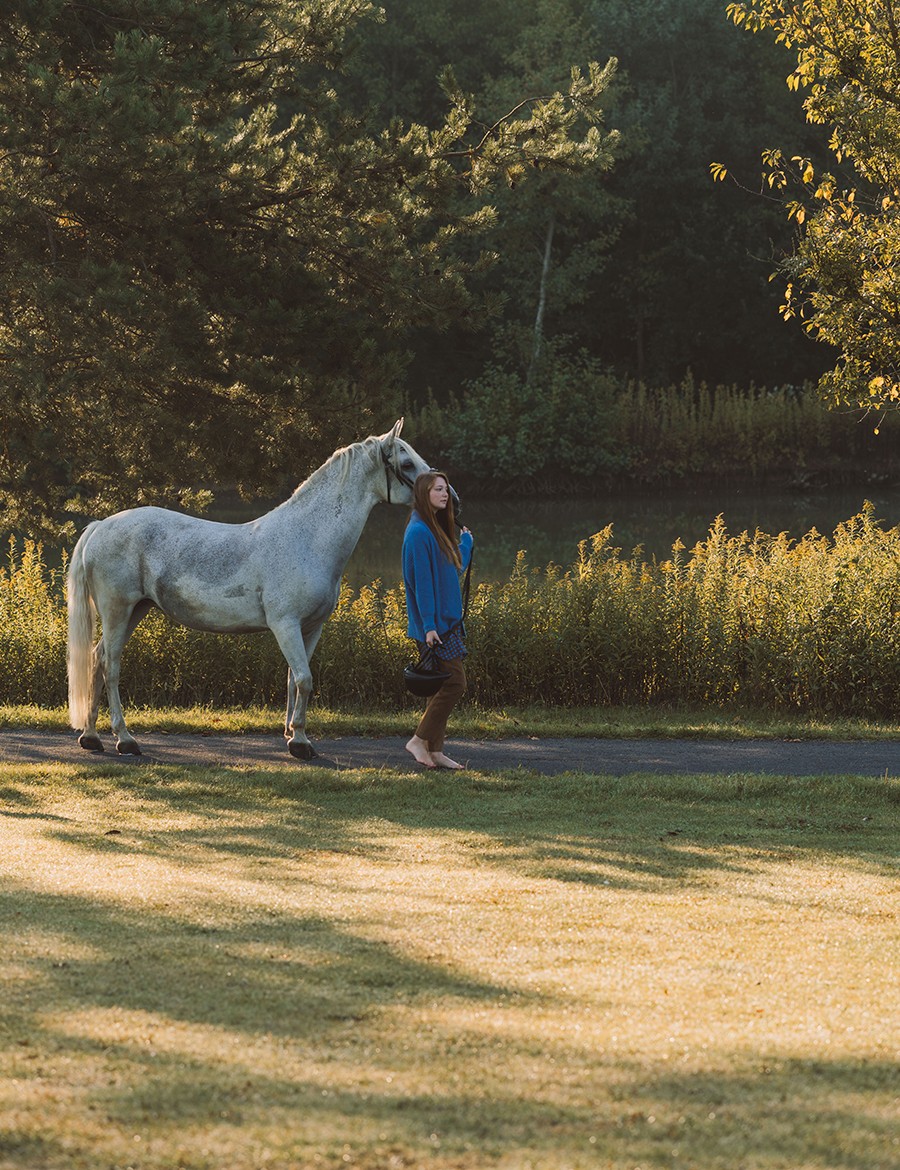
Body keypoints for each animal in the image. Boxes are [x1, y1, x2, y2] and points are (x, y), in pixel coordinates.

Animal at [66, 421, 430, 758]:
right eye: (407, 463)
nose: (440, 493)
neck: (307, 538)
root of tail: (101, 526)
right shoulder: (285, 625)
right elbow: (304, 679)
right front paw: (301, 744)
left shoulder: (311, 628)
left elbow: (293, 680)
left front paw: (291, 733)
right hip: (118, 611)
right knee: (111, 666)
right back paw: (125, 739)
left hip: (134, 611)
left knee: (97, 659)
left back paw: (92, 736)